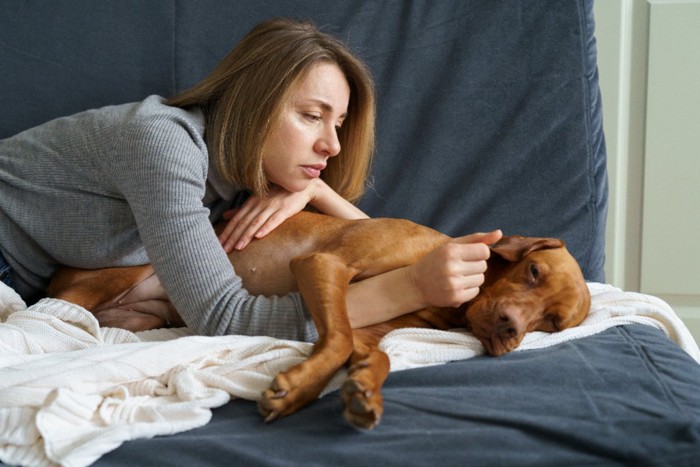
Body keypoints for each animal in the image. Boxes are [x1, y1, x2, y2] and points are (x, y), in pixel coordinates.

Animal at [46, 212, 588, 432]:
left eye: (551, 323)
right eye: (533, 272)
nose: (510, 329)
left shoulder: (373, 331)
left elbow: (376, 355)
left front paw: (364, 390)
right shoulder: (323, 266)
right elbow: (339, 338)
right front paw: (297, 389)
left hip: (144, 314)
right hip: (118, 272)